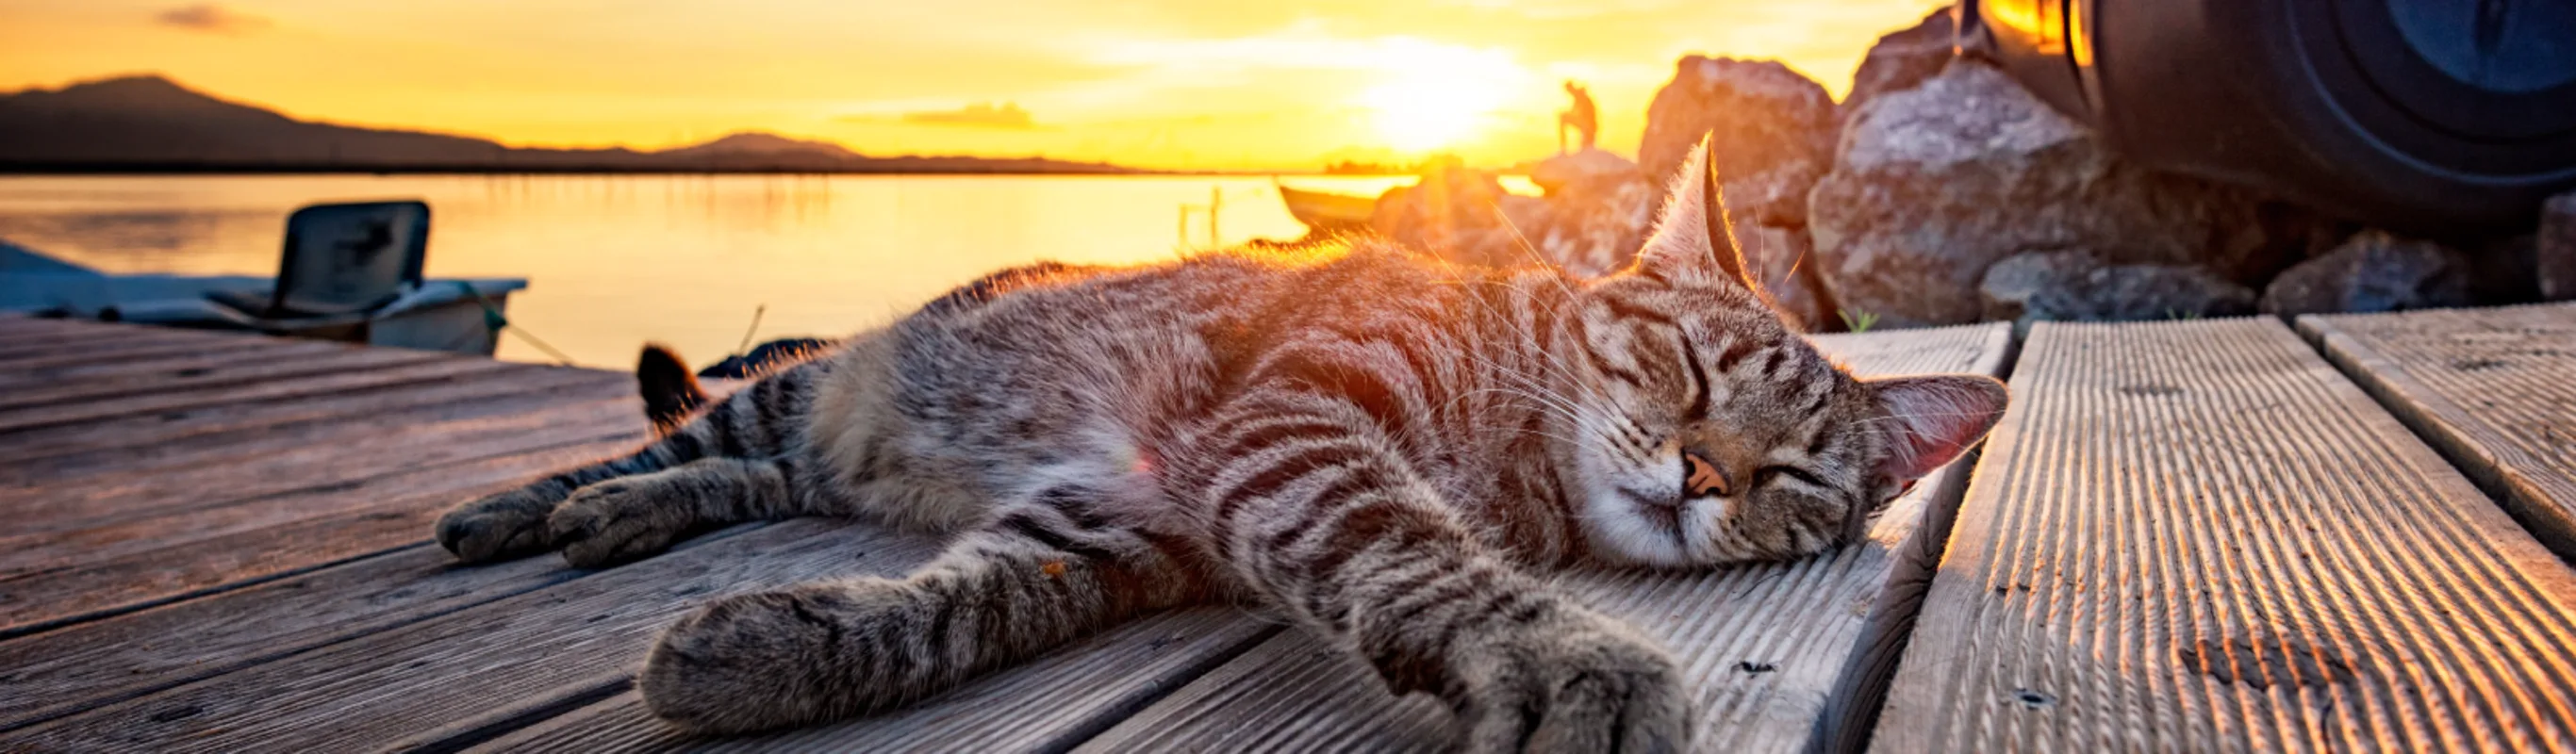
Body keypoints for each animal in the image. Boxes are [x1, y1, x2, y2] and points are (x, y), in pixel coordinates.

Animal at [432, 139, 2008, 746]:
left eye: (1793, 475)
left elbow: (966, 606)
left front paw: (780, 650)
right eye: (1689, 370)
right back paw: (537, 507)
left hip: (834, 446)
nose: (1702, 476)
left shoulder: (1119, 522)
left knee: (753, 473)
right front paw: (1573, 656)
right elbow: (1414, 549)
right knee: (680, 438)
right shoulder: (1295, 420)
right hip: (802, 385)